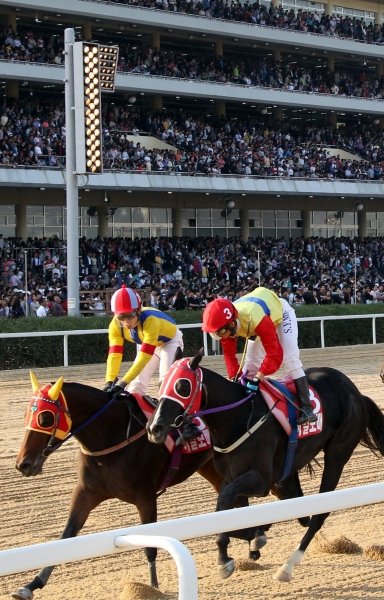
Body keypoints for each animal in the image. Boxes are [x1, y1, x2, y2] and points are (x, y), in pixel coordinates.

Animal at [12, 372, 222, 596]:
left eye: (45, 418)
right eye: (26, 415)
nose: (23, 464)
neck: (111, 437)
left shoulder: (145, 497)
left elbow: (150, 545)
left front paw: (152, 587)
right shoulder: (86, 492)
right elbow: (65, 536)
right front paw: (31, 584)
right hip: (210, 468)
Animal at [148, 352, 384, 580]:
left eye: (183, 386)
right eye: (161, 383)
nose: (154, 428)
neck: (238, 417)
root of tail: (355, 392)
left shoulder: (260, 480)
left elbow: (225, 501)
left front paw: (224, 559)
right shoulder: (232, 476)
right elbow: (235, 516)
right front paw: (254, 538)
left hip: (337, 454)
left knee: (318, 515)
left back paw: (287, 567)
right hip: (286, 476)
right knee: (300, 511)